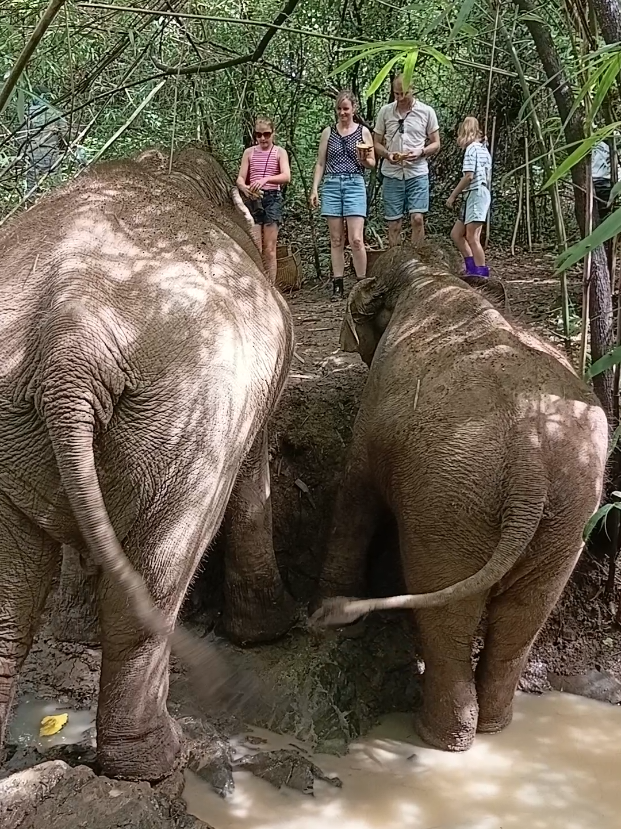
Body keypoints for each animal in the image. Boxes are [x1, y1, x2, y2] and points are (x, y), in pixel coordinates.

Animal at [0, 145, 297, 782]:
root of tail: (71, 338)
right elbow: (250, 480)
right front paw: (273, 633)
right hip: (191, 409)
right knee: (163, 562)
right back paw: (157, 762)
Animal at [310, 244, 608, 753]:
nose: (324, 617)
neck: (429, 274)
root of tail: (529, 460)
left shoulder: (370, 421)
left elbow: (356, 495)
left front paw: (329, 613)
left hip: (448, 503)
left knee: (445, 615)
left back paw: (437, 736)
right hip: (570, 510)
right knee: (523, 618)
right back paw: (492, 727)